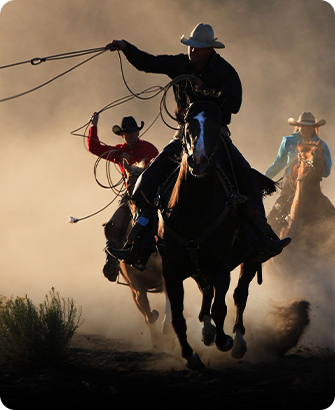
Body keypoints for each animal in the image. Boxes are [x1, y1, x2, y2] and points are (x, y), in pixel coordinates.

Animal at [157, 101, 262, 370]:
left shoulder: (221, 266)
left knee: (239, 295)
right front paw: (190, 355)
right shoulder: (171, 269)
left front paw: (224, 340)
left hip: (250, 259)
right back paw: (206, 331)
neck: (193, 209)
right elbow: (178, 316)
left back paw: (237, 341)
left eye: (216, 125)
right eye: (189, 124)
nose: (199, 161)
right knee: (206, 292)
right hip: (197, 268)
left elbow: (221, 307)